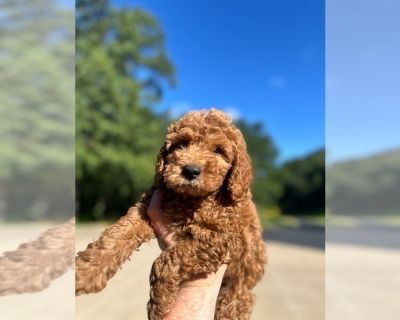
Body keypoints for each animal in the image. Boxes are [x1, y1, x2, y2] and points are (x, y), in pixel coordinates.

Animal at [76, 109, 268, 320]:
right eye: (181, 143)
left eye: (218, 150)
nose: (190, 170)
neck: (189, 198)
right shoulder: (147, 207)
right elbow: (118, 234)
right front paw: (86, 271)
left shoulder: (220, 237)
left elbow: (169, 259)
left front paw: (159, 304)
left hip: (241, 280)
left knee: (239, 299)